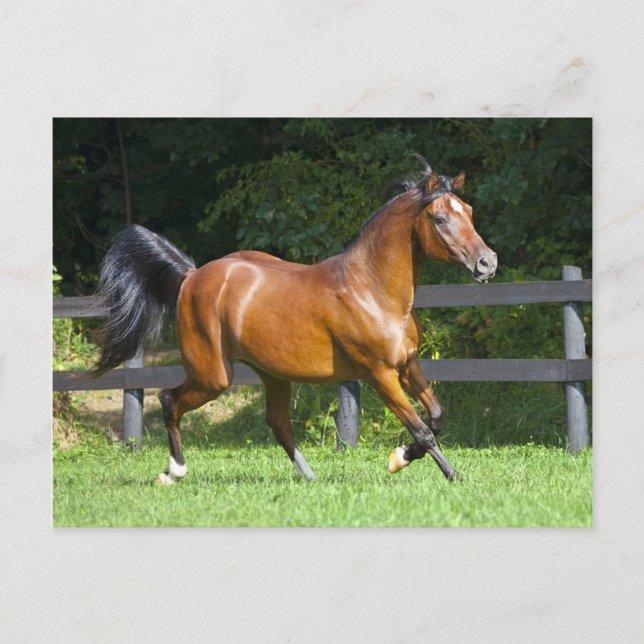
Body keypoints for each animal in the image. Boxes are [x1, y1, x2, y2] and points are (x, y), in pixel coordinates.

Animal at [93, 157, 497, 485]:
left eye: (469, 211)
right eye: (440, 218)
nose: (487, 262)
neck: (372, 289)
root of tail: (192, 276)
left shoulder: (408, 364)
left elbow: (437, 416)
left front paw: (407, 460)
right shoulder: (379, 374)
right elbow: (421, 430)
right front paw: (437, 471)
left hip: (272, 373)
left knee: (278, 422)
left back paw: (309, 477)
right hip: (213, 375)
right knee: (168, 399)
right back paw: (173, 471)